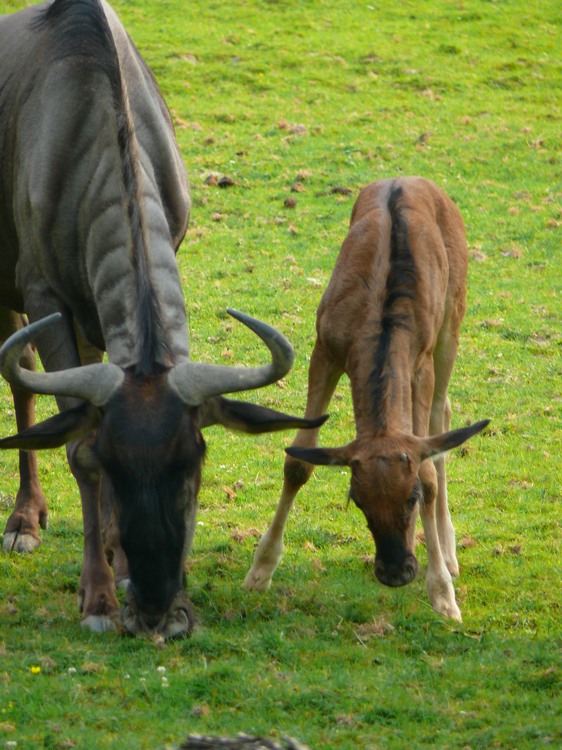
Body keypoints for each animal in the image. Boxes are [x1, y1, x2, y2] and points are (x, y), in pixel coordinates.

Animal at [243, 178, 488, 624]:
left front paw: (444, 595)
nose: (395, 571)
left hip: (452, 321)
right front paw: (260, 571)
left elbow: (428, 463)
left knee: (442, 416)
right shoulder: (325, 348)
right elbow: (297, 461)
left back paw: (449, 552)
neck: (378, 321)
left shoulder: (421, 361)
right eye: (356, 499)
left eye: (412, 497)